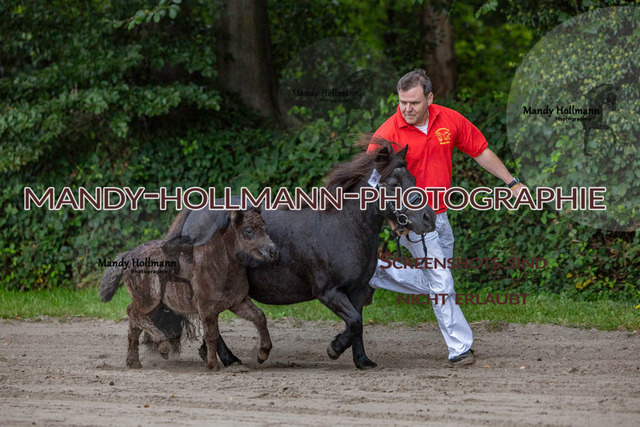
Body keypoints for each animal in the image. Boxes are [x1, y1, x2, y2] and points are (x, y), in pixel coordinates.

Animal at [99, 207, 278, 370]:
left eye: (265, 228)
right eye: (248, 230)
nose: (273, 251)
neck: (219, 263)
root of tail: (127, 255)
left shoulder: (238, 302)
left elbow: (259, 317)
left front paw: (262, 354)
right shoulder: (206, 307)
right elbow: (211, 334)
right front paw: (212, 365)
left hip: (153, 304)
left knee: (135, 325)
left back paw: (134, 362)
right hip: (147, 299)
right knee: (132, 312)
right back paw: (162, 345)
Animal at [154, 137, 436, 370]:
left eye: (413, 180)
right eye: (393, 184)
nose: (428, 219)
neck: (343, 226)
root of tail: (195, 213)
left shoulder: (356, 292)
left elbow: (358, 325)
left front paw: (363, 362)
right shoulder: (329, 292)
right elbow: (355, 322)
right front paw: (334, 349)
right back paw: (230, 359)